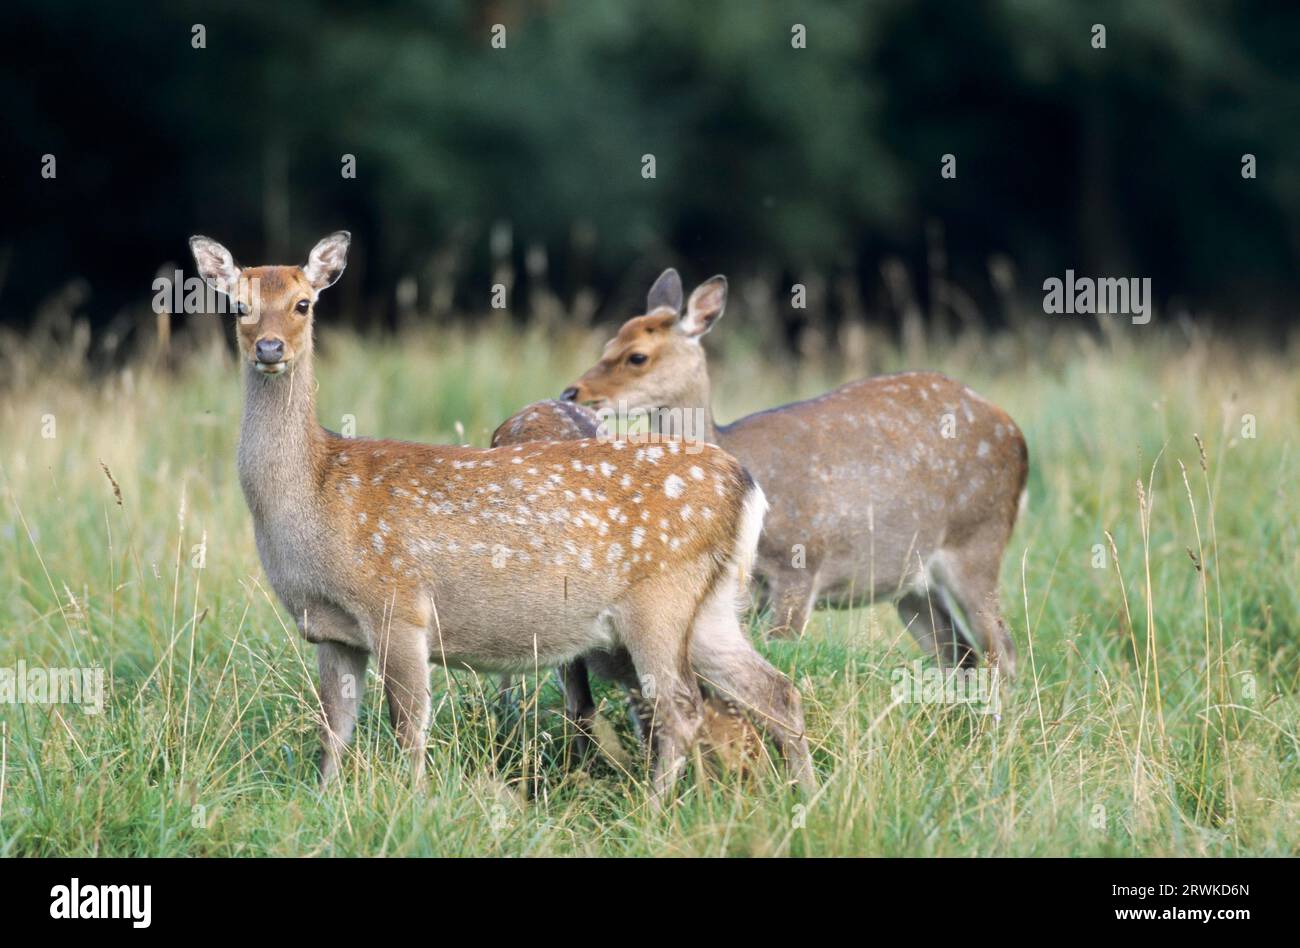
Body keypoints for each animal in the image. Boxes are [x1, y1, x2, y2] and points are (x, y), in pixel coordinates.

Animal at [564, 270, 1029, 676]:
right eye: (609, 341)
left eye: (638, 356)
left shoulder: (800, 566)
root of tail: (1017, 437)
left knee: (1002, 648)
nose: (573, 391)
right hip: (911, 583)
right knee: (958, 651)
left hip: (977, 540)